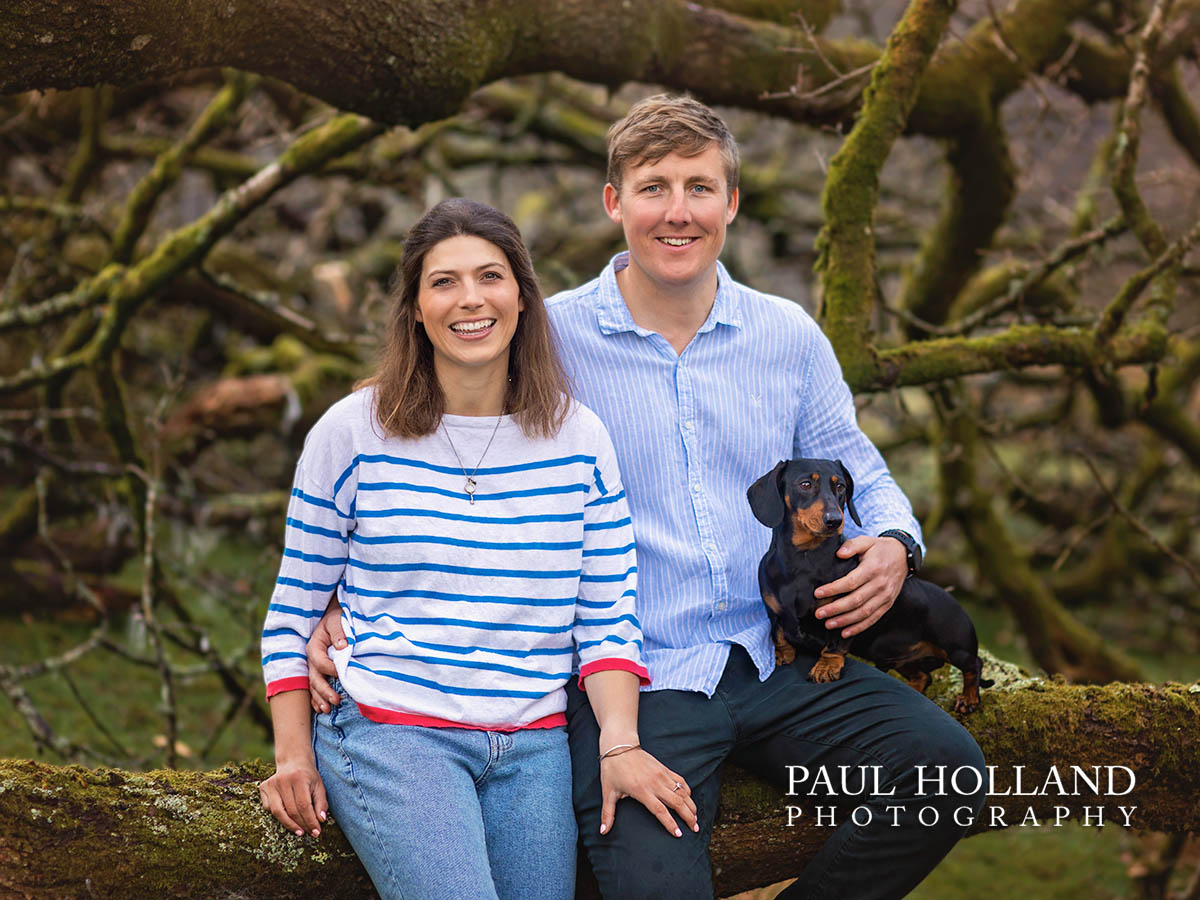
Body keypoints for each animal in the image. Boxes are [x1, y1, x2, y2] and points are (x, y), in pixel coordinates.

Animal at [744, 460, 988, 715]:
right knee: (923, 677)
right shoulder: (775, 612)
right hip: (897, 657)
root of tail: (956, 603)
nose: (834, 520)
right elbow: (779, 634)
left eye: (840, 486)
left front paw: (826, 667)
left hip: (957, 648)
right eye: (805, 484)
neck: (804, 560)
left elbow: (834, 644)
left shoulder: (842, 614)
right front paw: (781, 655)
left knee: (974, 665)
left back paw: (968, 698)